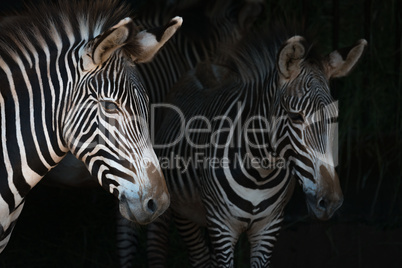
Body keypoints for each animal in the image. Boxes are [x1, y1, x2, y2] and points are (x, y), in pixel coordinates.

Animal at [148, 24, 368, 266]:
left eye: (334, 117)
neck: (260, 174)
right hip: (179, 211)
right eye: (296, 117)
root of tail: (203, 66)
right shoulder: (221, 227)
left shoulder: (268, 228)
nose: (331, 202)